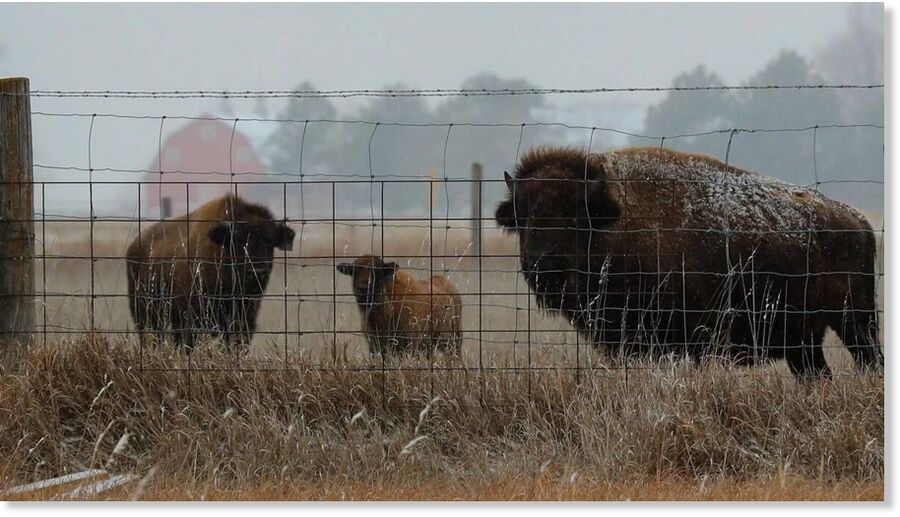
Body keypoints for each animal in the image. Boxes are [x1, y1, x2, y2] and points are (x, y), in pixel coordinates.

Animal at [495, 146, 882, 379]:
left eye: (575, 217)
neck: (611, 221)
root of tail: (858, 221)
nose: (542, 265)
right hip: (804, 342)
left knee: (871, 361)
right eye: (524, 218)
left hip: (855, 323)